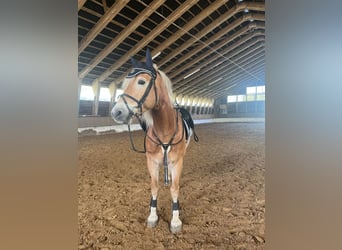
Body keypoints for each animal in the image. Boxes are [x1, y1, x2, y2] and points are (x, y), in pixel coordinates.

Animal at [111, 48, 198, 234]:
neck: (165, 129)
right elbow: (154, 186)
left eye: (141, 82)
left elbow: (174, 188)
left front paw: (175, 220)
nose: (117, 112)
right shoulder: (151, 161)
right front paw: (152, 216)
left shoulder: (177, 161)